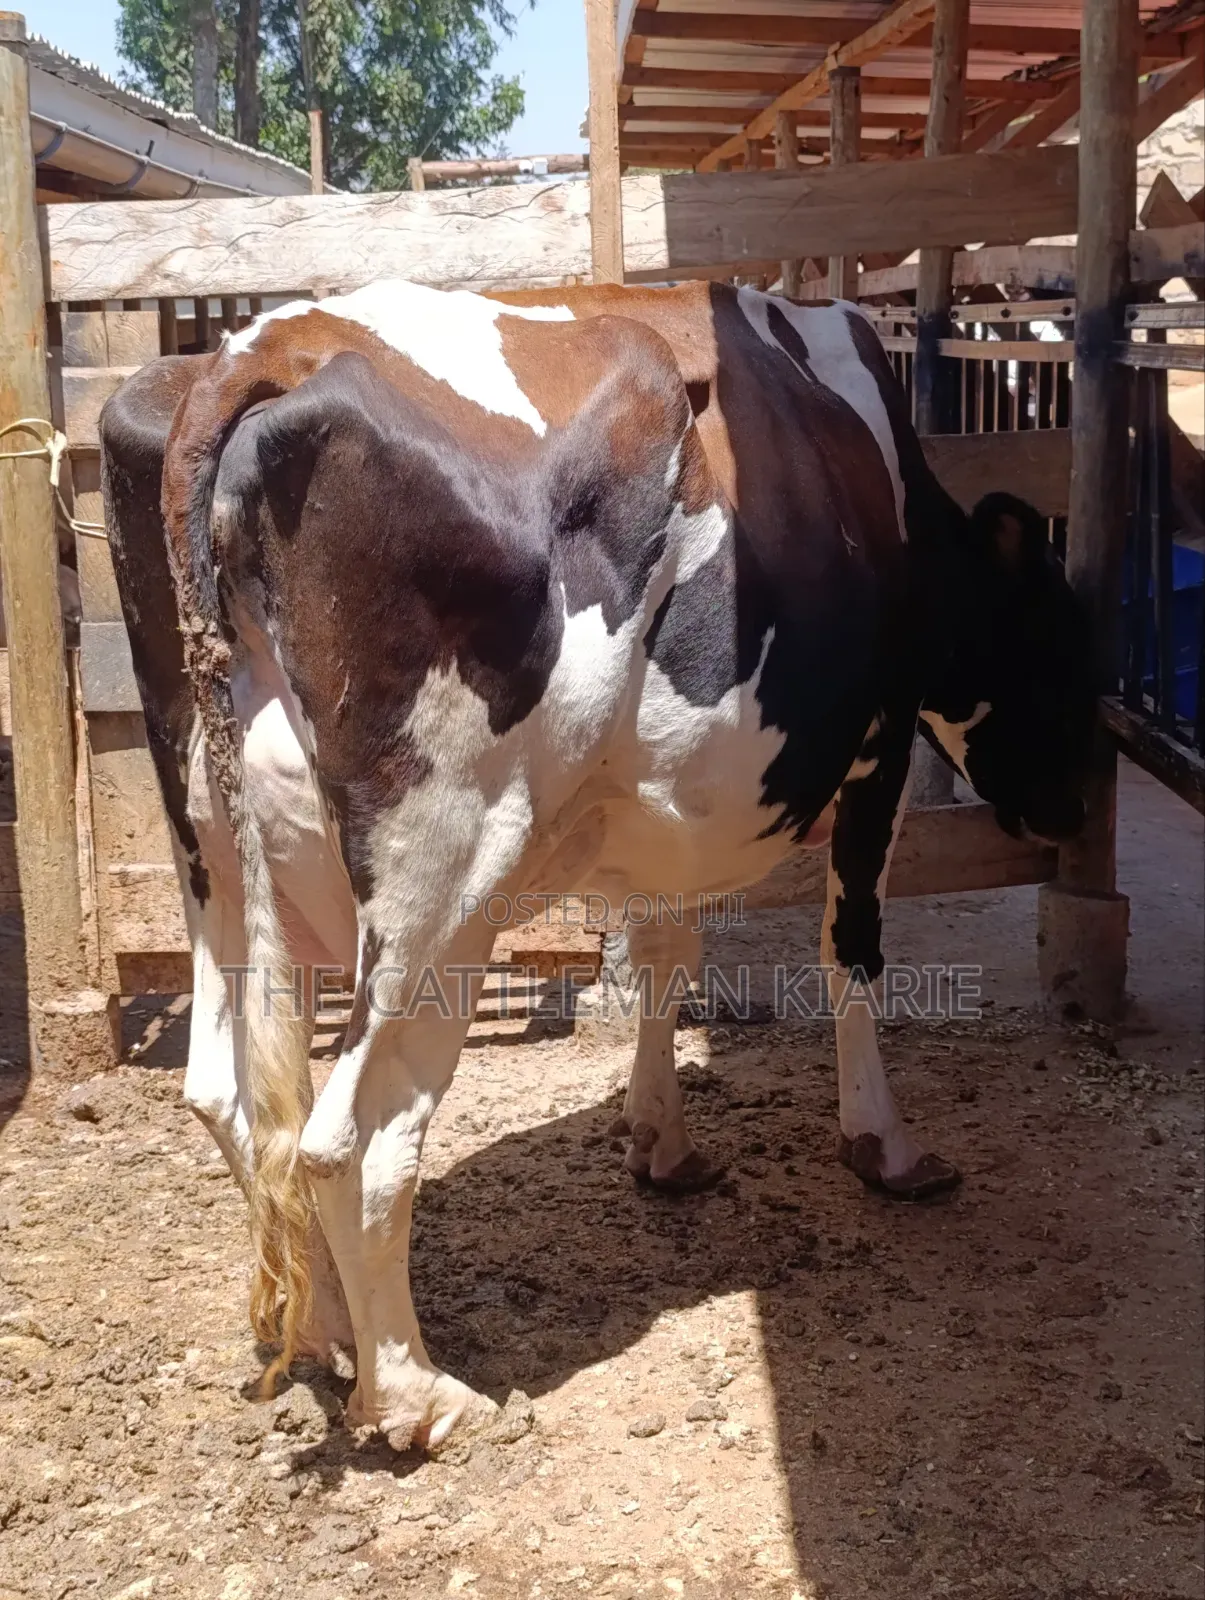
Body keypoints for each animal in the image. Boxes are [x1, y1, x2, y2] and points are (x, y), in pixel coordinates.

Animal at [99, 278, 1096, 1452]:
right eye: (1066, 647)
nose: (1076, 805)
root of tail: (259, 349)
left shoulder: (664, 796)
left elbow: (664, 956)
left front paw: (661, 1142)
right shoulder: (881, 743)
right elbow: (850, 952)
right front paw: (885, 1147)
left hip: (217, 858)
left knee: (234, 1095)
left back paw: (337, 1340)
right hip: (443, 875)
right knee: (351, 1137)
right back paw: (417, 1394)